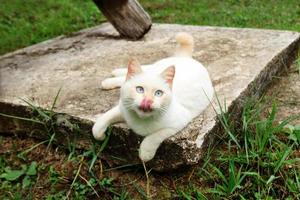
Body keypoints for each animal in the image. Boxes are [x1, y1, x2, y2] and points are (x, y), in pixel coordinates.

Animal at [92, 32, 214, 161]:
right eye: (139, 89)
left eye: (158, 93)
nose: (148, 101)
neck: (141, 120)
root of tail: (186, 59)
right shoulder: (123, 106)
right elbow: (105, 117)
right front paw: (99, 133)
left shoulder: (179, 122)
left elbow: (155, 136)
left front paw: (145, 153)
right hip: (156, 66)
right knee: (140, 70)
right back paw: (112, 77)